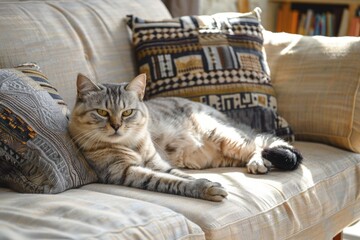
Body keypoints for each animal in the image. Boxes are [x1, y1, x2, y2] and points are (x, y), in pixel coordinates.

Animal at [68, 74, 300, 202]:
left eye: (127, 112)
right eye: (102, 112)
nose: (116, 126)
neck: (130, 143)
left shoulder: (157, 163)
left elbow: (180, 176)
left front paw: (206, 183)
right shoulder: (125, 171)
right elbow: (174, 181)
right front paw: (206, 187)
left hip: (223, 135)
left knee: (257, 146)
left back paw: (258, 163)